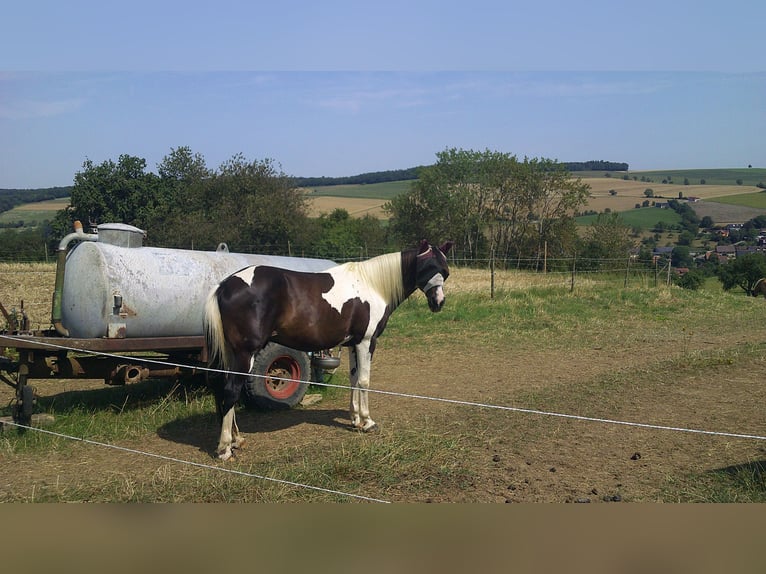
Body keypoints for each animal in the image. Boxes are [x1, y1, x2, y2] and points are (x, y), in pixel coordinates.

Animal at [203, 239, 454, 460]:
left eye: (445, 271)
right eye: (427, 267)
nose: (438, 302)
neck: (372, 285)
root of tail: (224, 285)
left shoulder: (353, 344)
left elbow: (354, 380)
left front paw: (355, 419)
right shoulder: (367, 342)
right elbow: (364, 381)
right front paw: (368, 422)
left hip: (232, 353)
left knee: (223, 389)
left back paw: (236, 439)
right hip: (246, 353)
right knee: (231, 390)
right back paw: (225, 449)